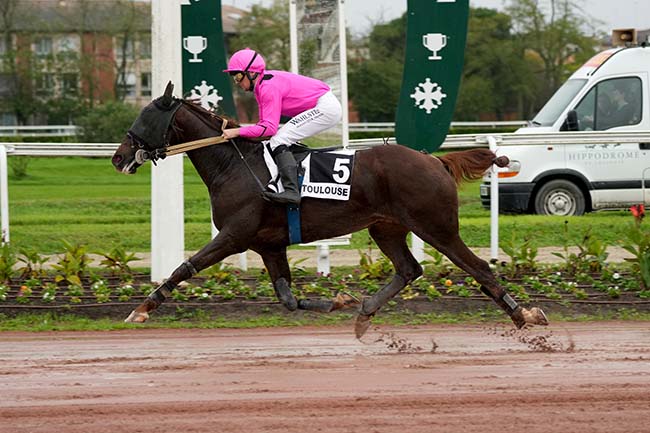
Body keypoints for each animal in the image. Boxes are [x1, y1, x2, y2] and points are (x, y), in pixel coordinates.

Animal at [112, 82, 548, 336]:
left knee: (479, 267)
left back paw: (523, 316)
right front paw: (341, 301)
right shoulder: (269, 244)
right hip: (386, 227)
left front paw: (141, 310)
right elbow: (287, 298)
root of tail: (434, 160)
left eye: (145, 117)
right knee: (409, 269)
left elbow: (185, 267)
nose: (118, 157)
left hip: (436, 227)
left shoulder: (234, 235)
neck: (236, 164)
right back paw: (365, 312)